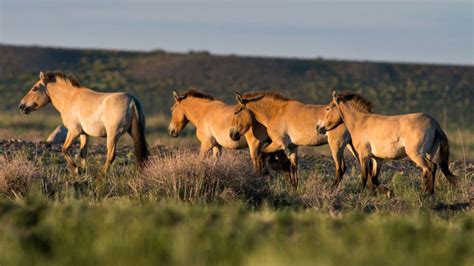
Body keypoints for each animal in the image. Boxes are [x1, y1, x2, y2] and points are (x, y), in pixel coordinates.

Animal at [19, 70, 148, 174]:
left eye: (34, 88)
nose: (21, 106)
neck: (70, 98)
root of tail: (132, 101)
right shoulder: (84, 134)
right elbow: (82, 153)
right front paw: (83, 171)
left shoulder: (74, 131)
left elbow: (64, 149)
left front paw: (77, 170)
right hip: (133, 133)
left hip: (113, 135)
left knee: (111, 156)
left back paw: (100, 175)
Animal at [316, 90, 458, 194]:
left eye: (328, 108)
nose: (318, 127)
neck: (361, 123)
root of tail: (435, 123)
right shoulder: (378, 158)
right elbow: (374, 178)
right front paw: (388, 192)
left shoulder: (363, 155)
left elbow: (364, 176)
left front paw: (360, 192)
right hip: (429, 153)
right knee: (428, 171)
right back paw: (427, 193)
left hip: (417, 154)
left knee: (430, 167)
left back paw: (427, 194)